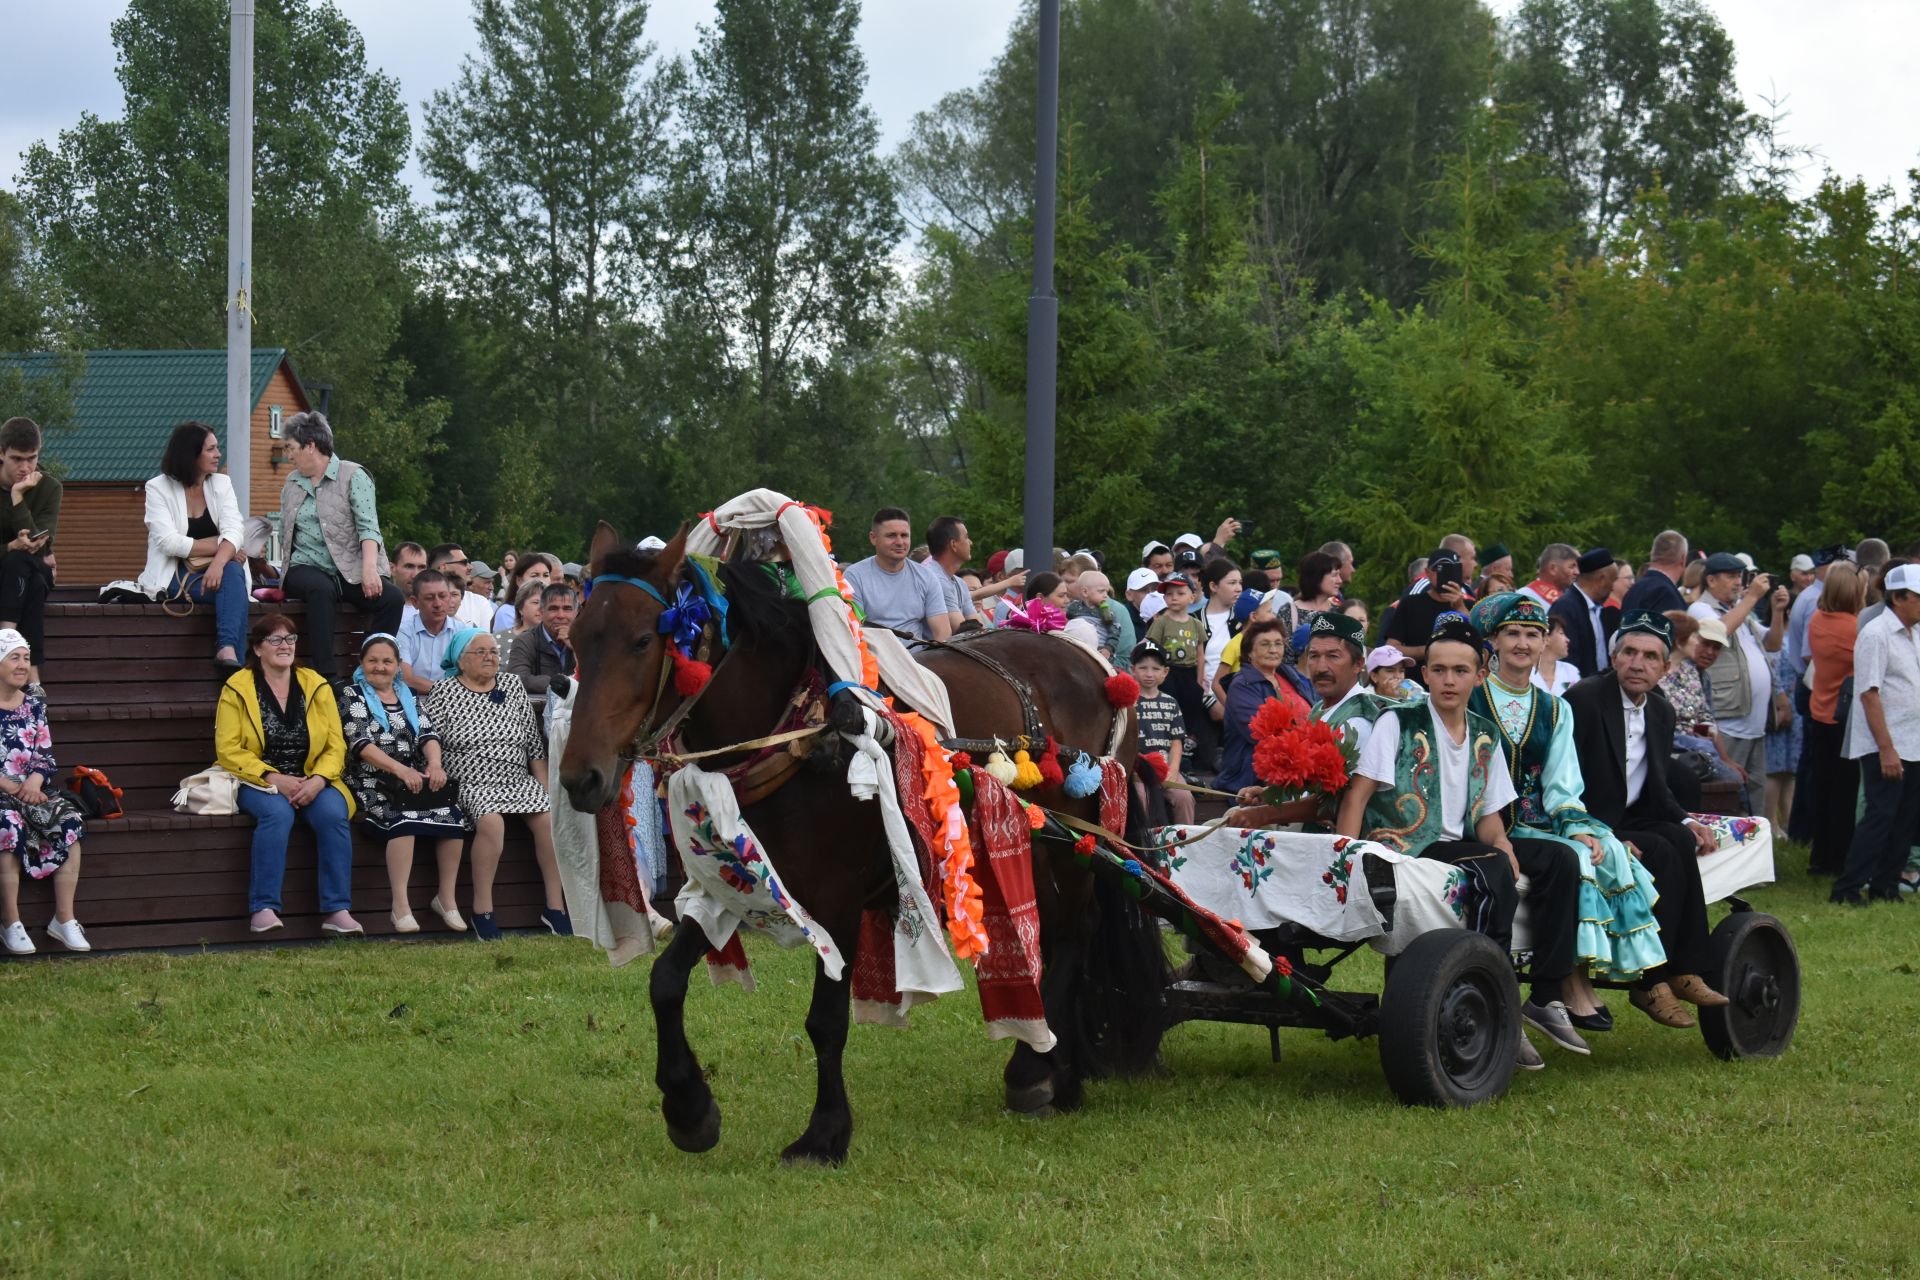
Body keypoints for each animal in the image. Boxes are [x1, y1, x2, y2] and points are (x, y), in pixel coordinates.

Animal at [552, 525, 1152, 1166]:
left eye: (643, 640)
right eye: (576, 639)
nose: (581, 777)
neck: (801, 732)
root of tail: (1092, 661)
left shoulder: (835, 896)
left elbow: (825, 1020)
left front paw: (823, 1132)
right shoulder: (736, 878)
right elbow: (664, 981)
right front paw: (689, 1109)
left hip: (1075, 841)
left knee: (1073, 934)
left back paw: (1043, 1075)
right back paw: (1046, 1068)